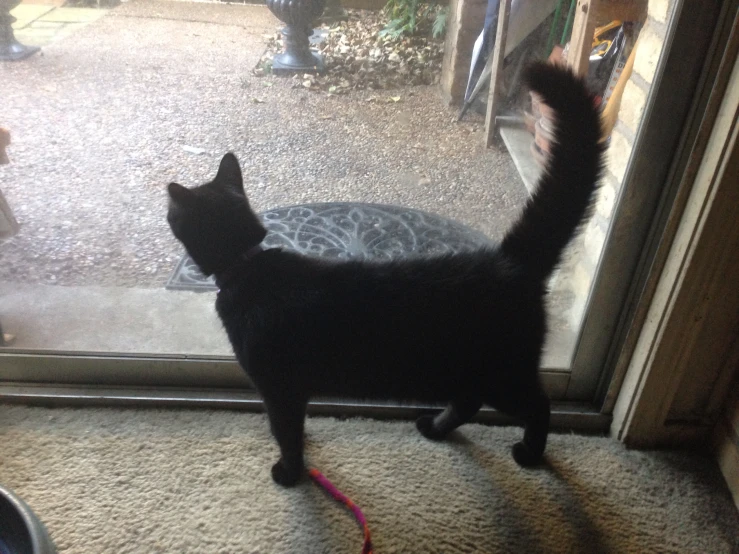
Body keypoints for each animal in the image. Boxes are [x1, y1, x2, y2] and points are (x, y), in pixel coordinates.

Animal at [169, 63, 608, 484]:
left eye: (173, 214)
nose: (167, 207)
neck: (246, 264)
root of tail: (508, 260)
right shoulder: (292, 392)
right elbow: (293, 429)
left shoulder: (279, 388)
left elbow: (287, 433)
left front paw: (290, 473)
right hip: (465, 369)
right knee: (468, 401)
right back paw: (436, 428)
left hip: (503, 374)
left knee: (538, 405)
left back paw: (530, 453)